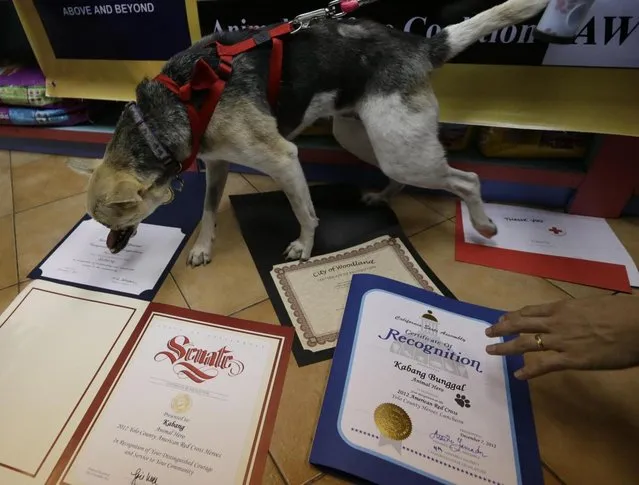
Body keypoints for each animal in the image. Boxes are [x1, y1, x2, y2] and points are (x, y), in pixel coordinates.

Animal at [69, 0, 552, 264]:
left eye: (112, 220)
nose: (109, 247)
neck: (162, 115)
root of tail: (420, 45)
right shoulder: (218, 164)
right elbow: (207, 211)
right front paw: (204, 247)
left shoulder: (284, 159)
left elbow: (305, 212)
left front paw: (304, 247)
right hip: (367, 137)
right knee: (400, 175)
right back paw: (381, 196)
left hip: (400, 148)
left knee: (467, 180)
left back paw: (484, 224)